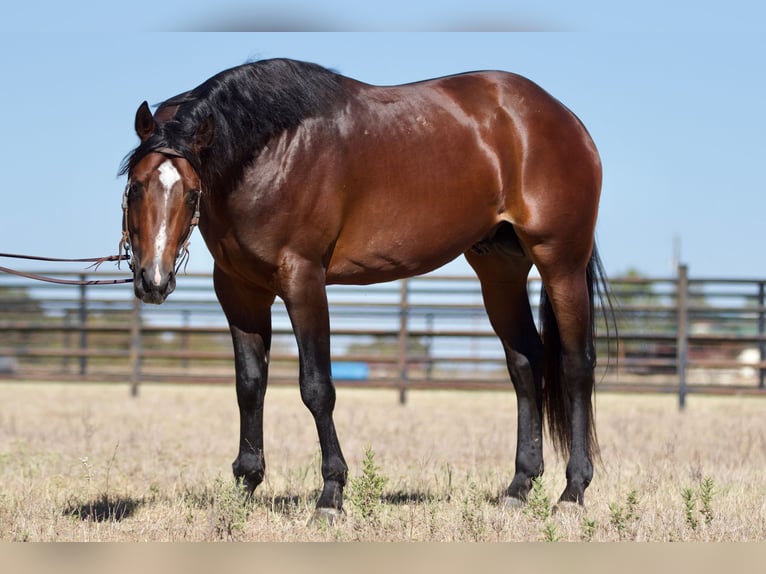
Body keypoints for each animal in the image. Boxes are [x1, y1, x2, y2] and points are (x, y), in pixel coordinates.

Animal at [120, 58, 612, 520]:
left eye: (190, 193)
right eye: (136, 187)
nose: (153, 281)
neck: (268, 151)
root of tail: (563, 118)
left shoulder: (303, 280)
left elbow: (317, 387)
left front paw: (331, 495)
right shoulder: (239, 290)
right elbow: (250, 384)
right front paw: (245, 486)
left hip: (561, 263)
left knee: (575, 365)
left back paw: (573, 492)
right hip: (499, 270)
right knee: (525, 363)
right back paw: (518, 487)